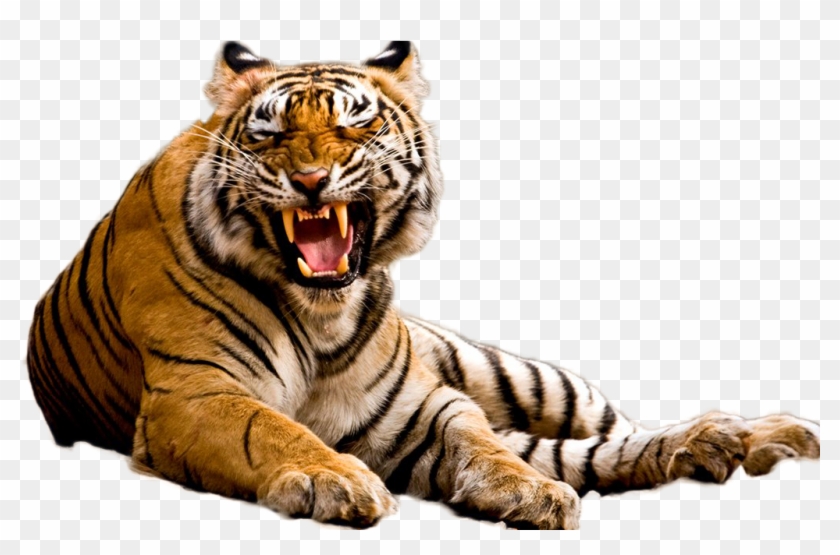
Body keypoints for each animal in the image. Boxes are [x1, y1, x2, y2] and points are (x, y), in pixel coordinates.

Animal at [26, 41, 820, 530]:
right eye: (269, 134)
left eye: (354, 127)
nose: (309, 178)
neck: (322, 315)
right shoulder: (193, 393)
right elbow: (271, 427)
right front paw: (337, 479)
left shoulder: (421, 406)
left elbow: (481, 441)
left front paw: (528, 491)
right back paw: (724, 446)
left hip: (527, 377)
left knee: (606, 434)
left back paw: (759, 437)